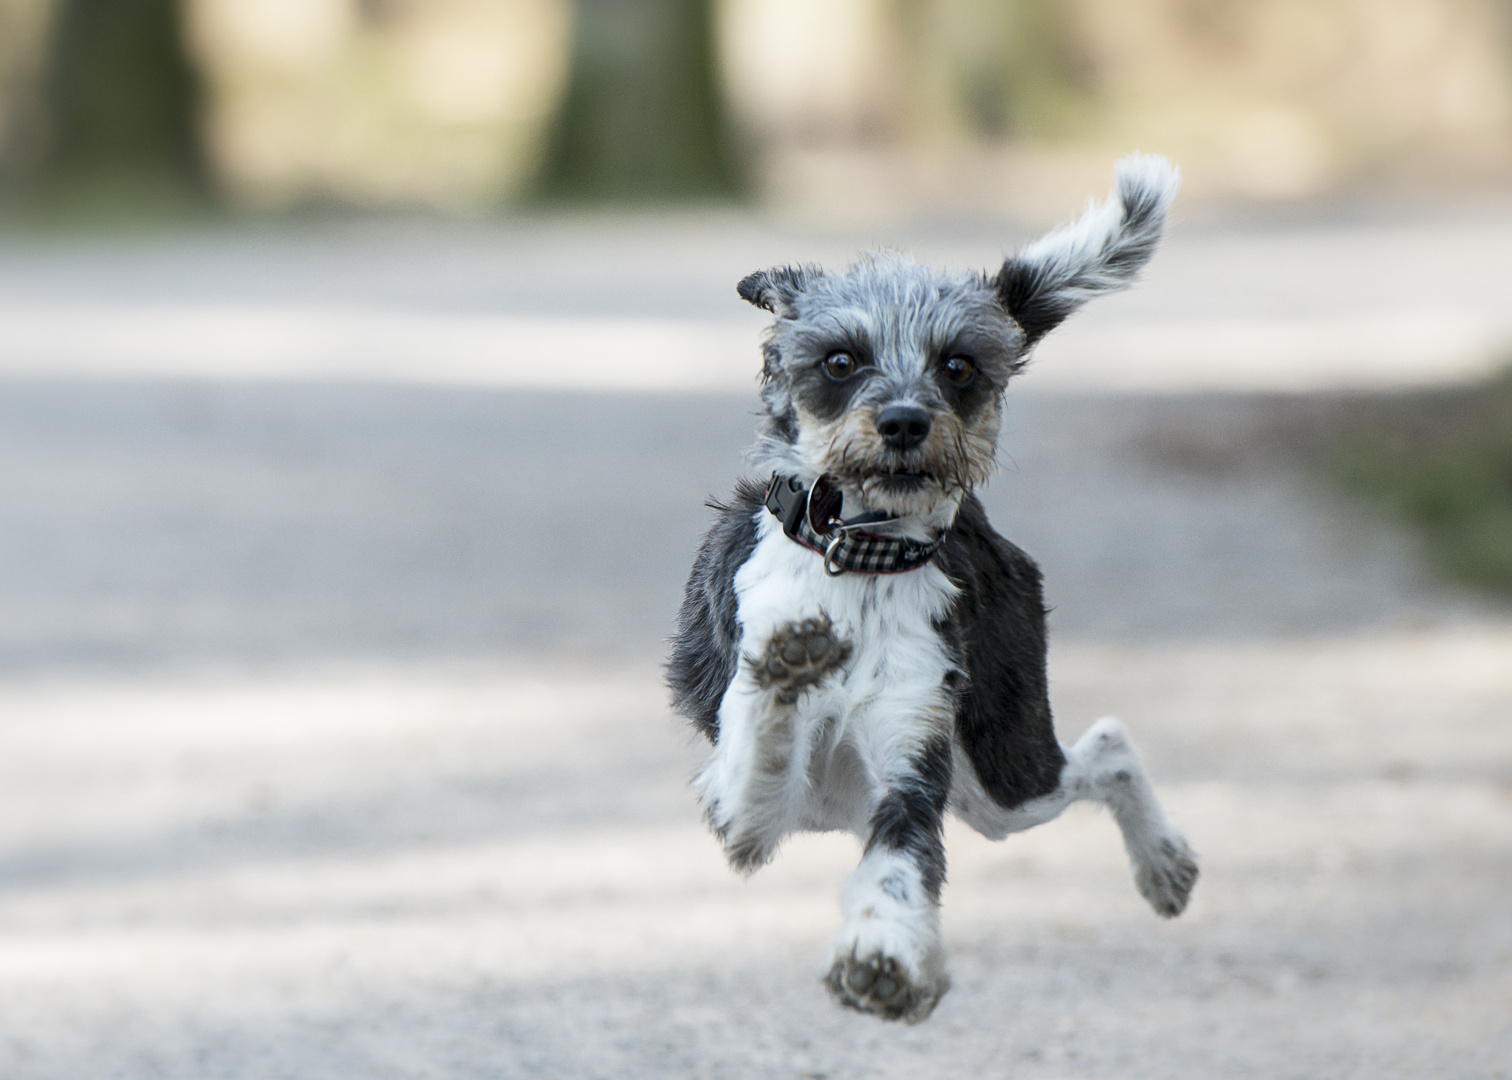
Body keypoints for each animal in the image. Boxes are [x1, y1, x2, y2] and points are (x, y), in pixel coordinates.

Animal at [668, 153, 1197, 1016]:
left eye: (959, 365)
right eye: (841, 359)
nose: (907, 422)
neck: (861, 559)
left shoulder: (914, 760)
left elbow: (899, 867)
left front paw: (881, 955)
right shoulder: (743, 815)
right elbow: (761, 749)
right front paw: (788, 662)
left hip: (1003, 768)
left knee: (1109, 745)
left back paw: (1165, 866)